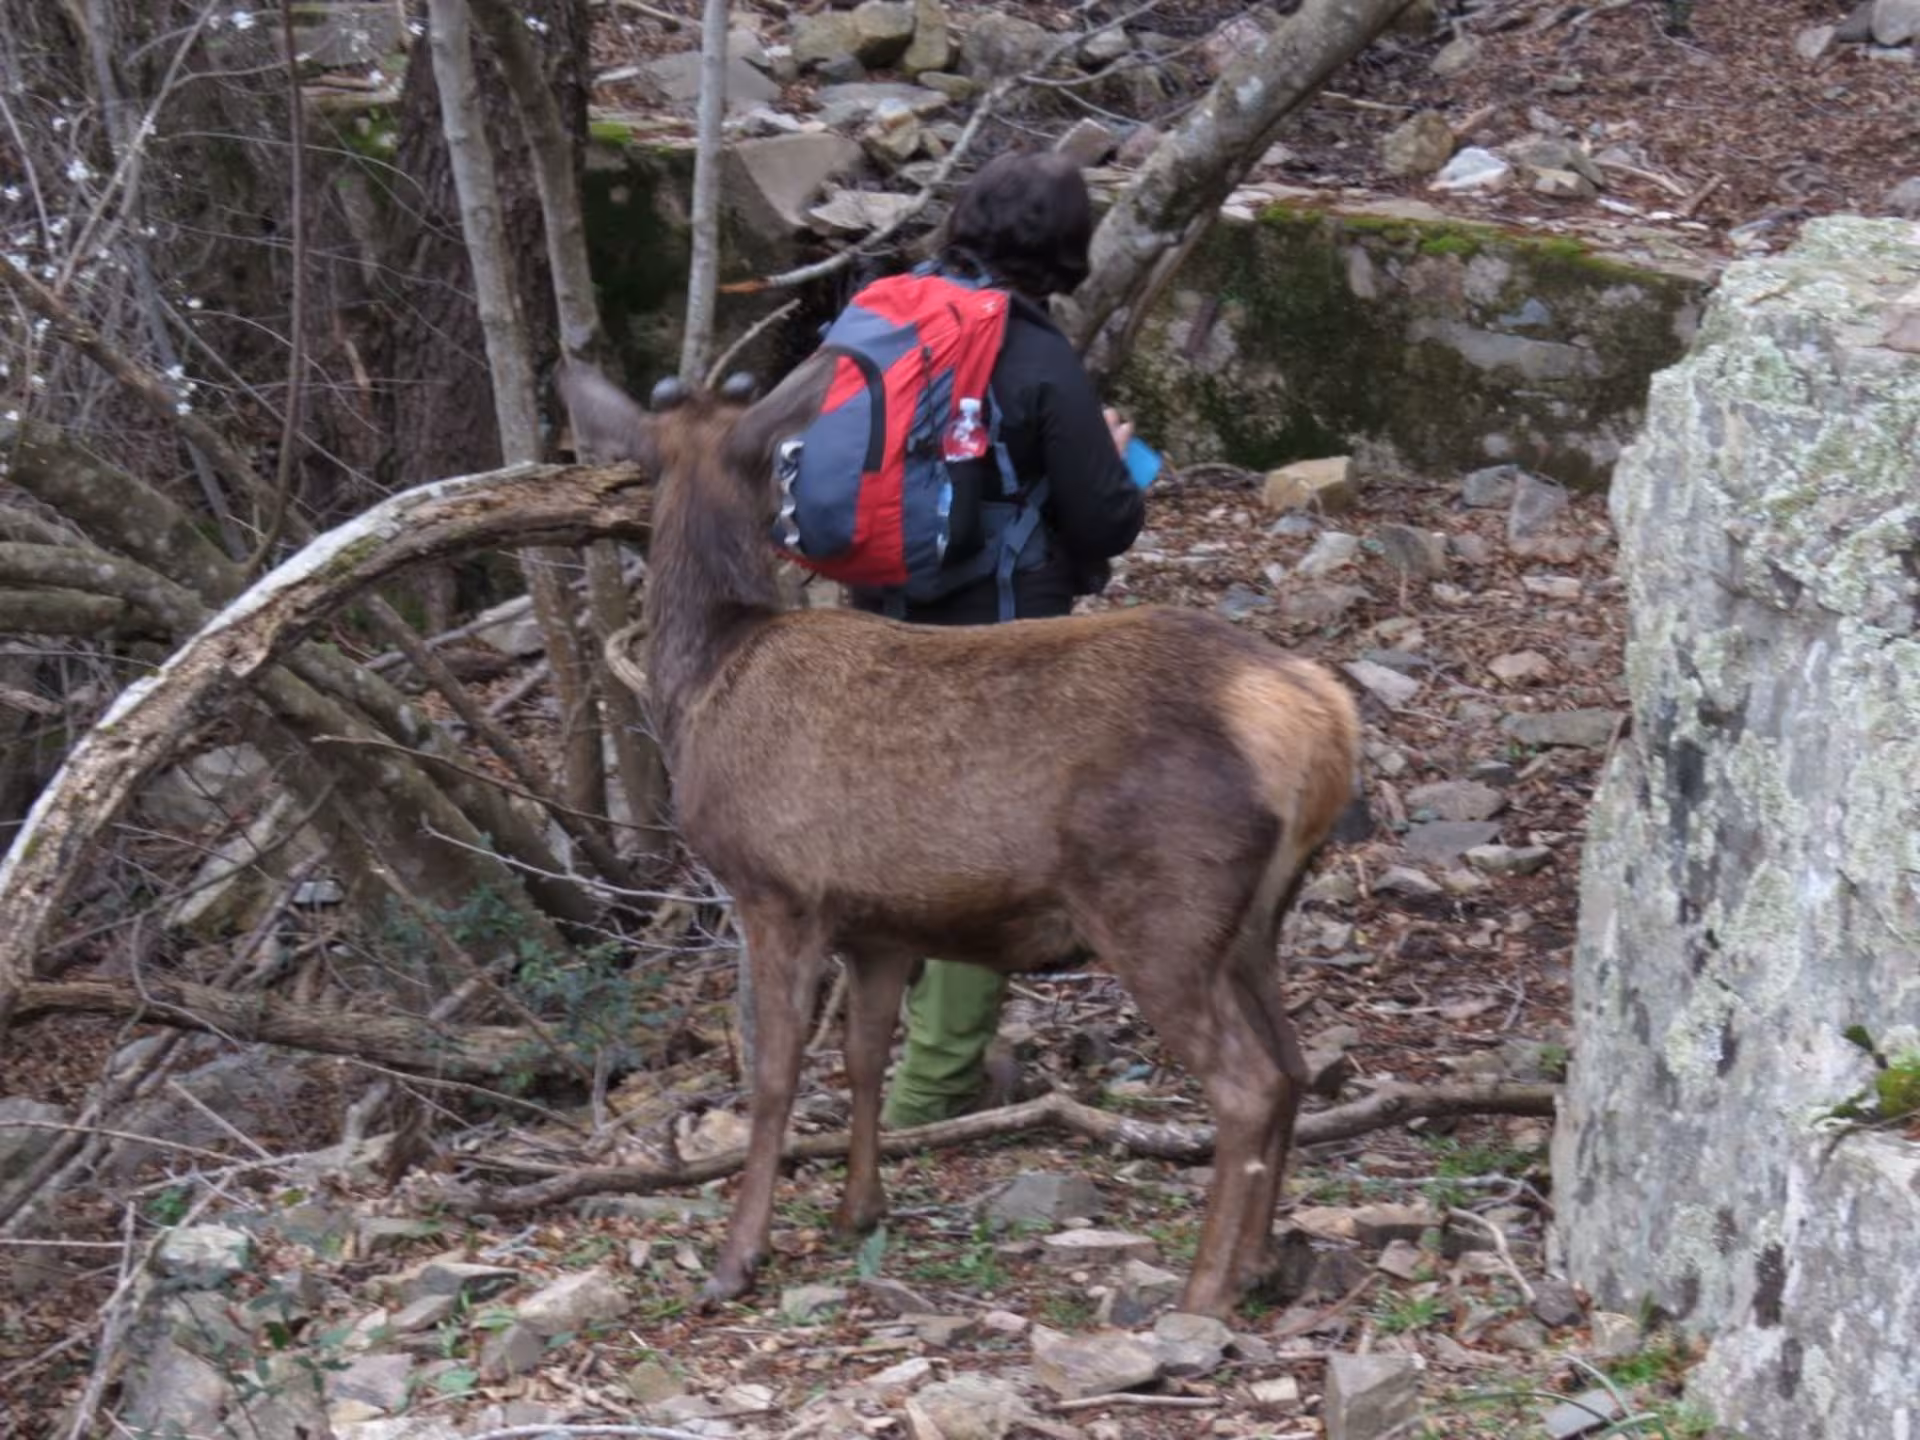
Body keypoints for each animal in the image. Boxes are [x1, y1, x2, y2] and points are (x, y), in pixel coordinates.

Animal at [559, 357, 1364, 1320]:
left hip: (1161, 902)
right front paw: (859, 1210)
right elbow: (865, 1056)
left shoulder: (774, 886)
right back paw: (1257, 1264)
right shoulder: (876, 923)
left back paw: (1202, 1290)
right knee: (1292, 1067)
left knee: (1248, 1084)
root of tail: (1320, 717)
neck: (705, 680)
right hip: (1254, 919)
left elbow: (776, 1072)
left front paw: (737, 1258)